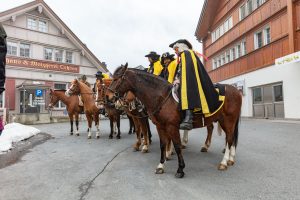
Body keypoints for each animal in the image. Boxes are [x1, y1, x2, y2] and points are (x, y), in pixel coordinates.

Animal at [106, 63, 243, 177]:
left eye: (116, 79)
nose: (109, 97)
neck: (162, 97)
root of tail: (236, 90)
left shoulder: (172, 126)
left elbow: (177, 146)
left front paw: (180, 169)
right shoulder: (160, 126)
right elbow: (163, 144)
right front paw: (161, 165)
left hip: (228, 121)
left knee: (229, 139)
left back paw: (224, 162)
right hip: (224, 121)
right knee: (229, 138)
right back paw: (230, 159)